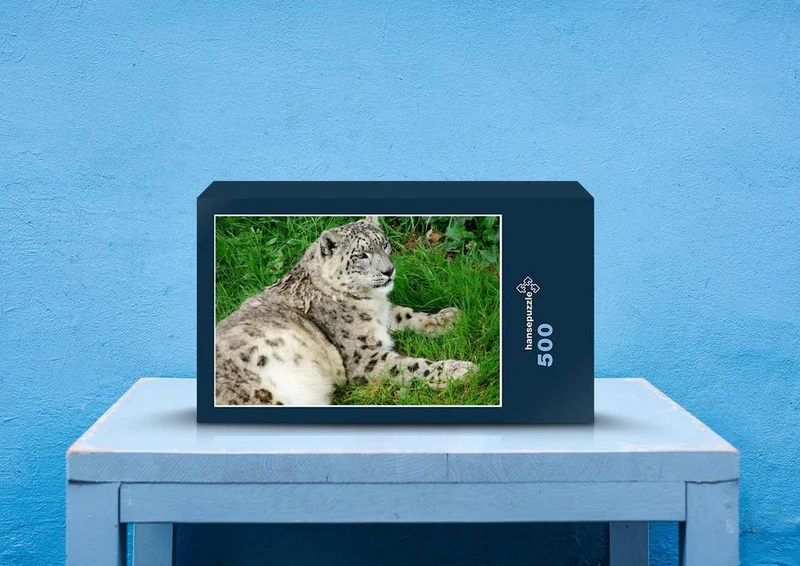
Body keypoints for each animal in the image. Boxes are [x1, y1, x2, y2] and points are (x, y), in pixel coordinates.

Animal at [214, 215, 478, 406]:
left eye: (385, 244)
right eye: (361, 255)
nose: (389, 270)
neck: (371, 302)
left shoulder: (383, 314)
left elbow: (406, 314)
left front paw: (448, 318)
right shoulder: (365, 357)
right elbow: (413, 367)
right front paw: (460, 369)